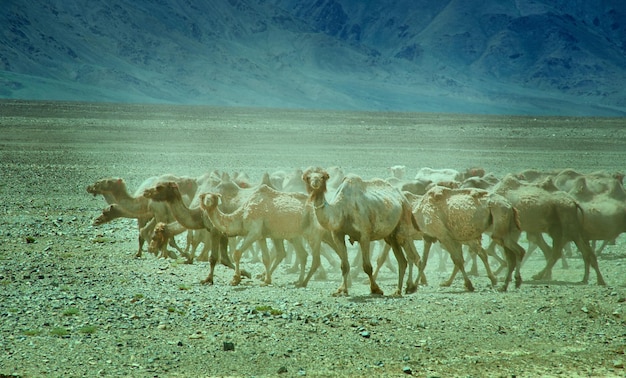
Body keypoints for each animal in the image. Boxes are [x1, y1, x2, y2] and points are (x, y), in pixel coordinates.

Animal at [200, 185, 332, 288]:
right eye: (203, 196)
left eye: (214, 197)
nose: (208, 202)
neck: (242, 215)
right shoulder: (261, 236)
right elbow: (265, 258)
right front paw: (266, 281)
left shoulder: (254, 231)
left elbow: (237, 253)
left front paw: (235, 279)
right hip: (296, 234)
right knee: (302, 255)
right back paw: (298, 281)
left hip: (313, 233)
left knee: (315, 259)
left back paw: (303, 283)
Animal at [302, 167, 420, 296]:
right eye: (308, 177)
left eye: (322, 177)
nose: (315, 183)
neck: (341, 210)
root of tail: (403, 198)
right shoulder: (337, 235)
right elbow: (344, 265)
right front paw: (341, 290)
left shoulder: (364, 235)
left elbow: (367, 266)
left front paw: (376, 289)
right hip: (391, 236)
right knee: (402, 261)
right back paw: (398, 291)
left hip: (403, 220)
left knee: (411, 255)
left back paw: (411, 287)